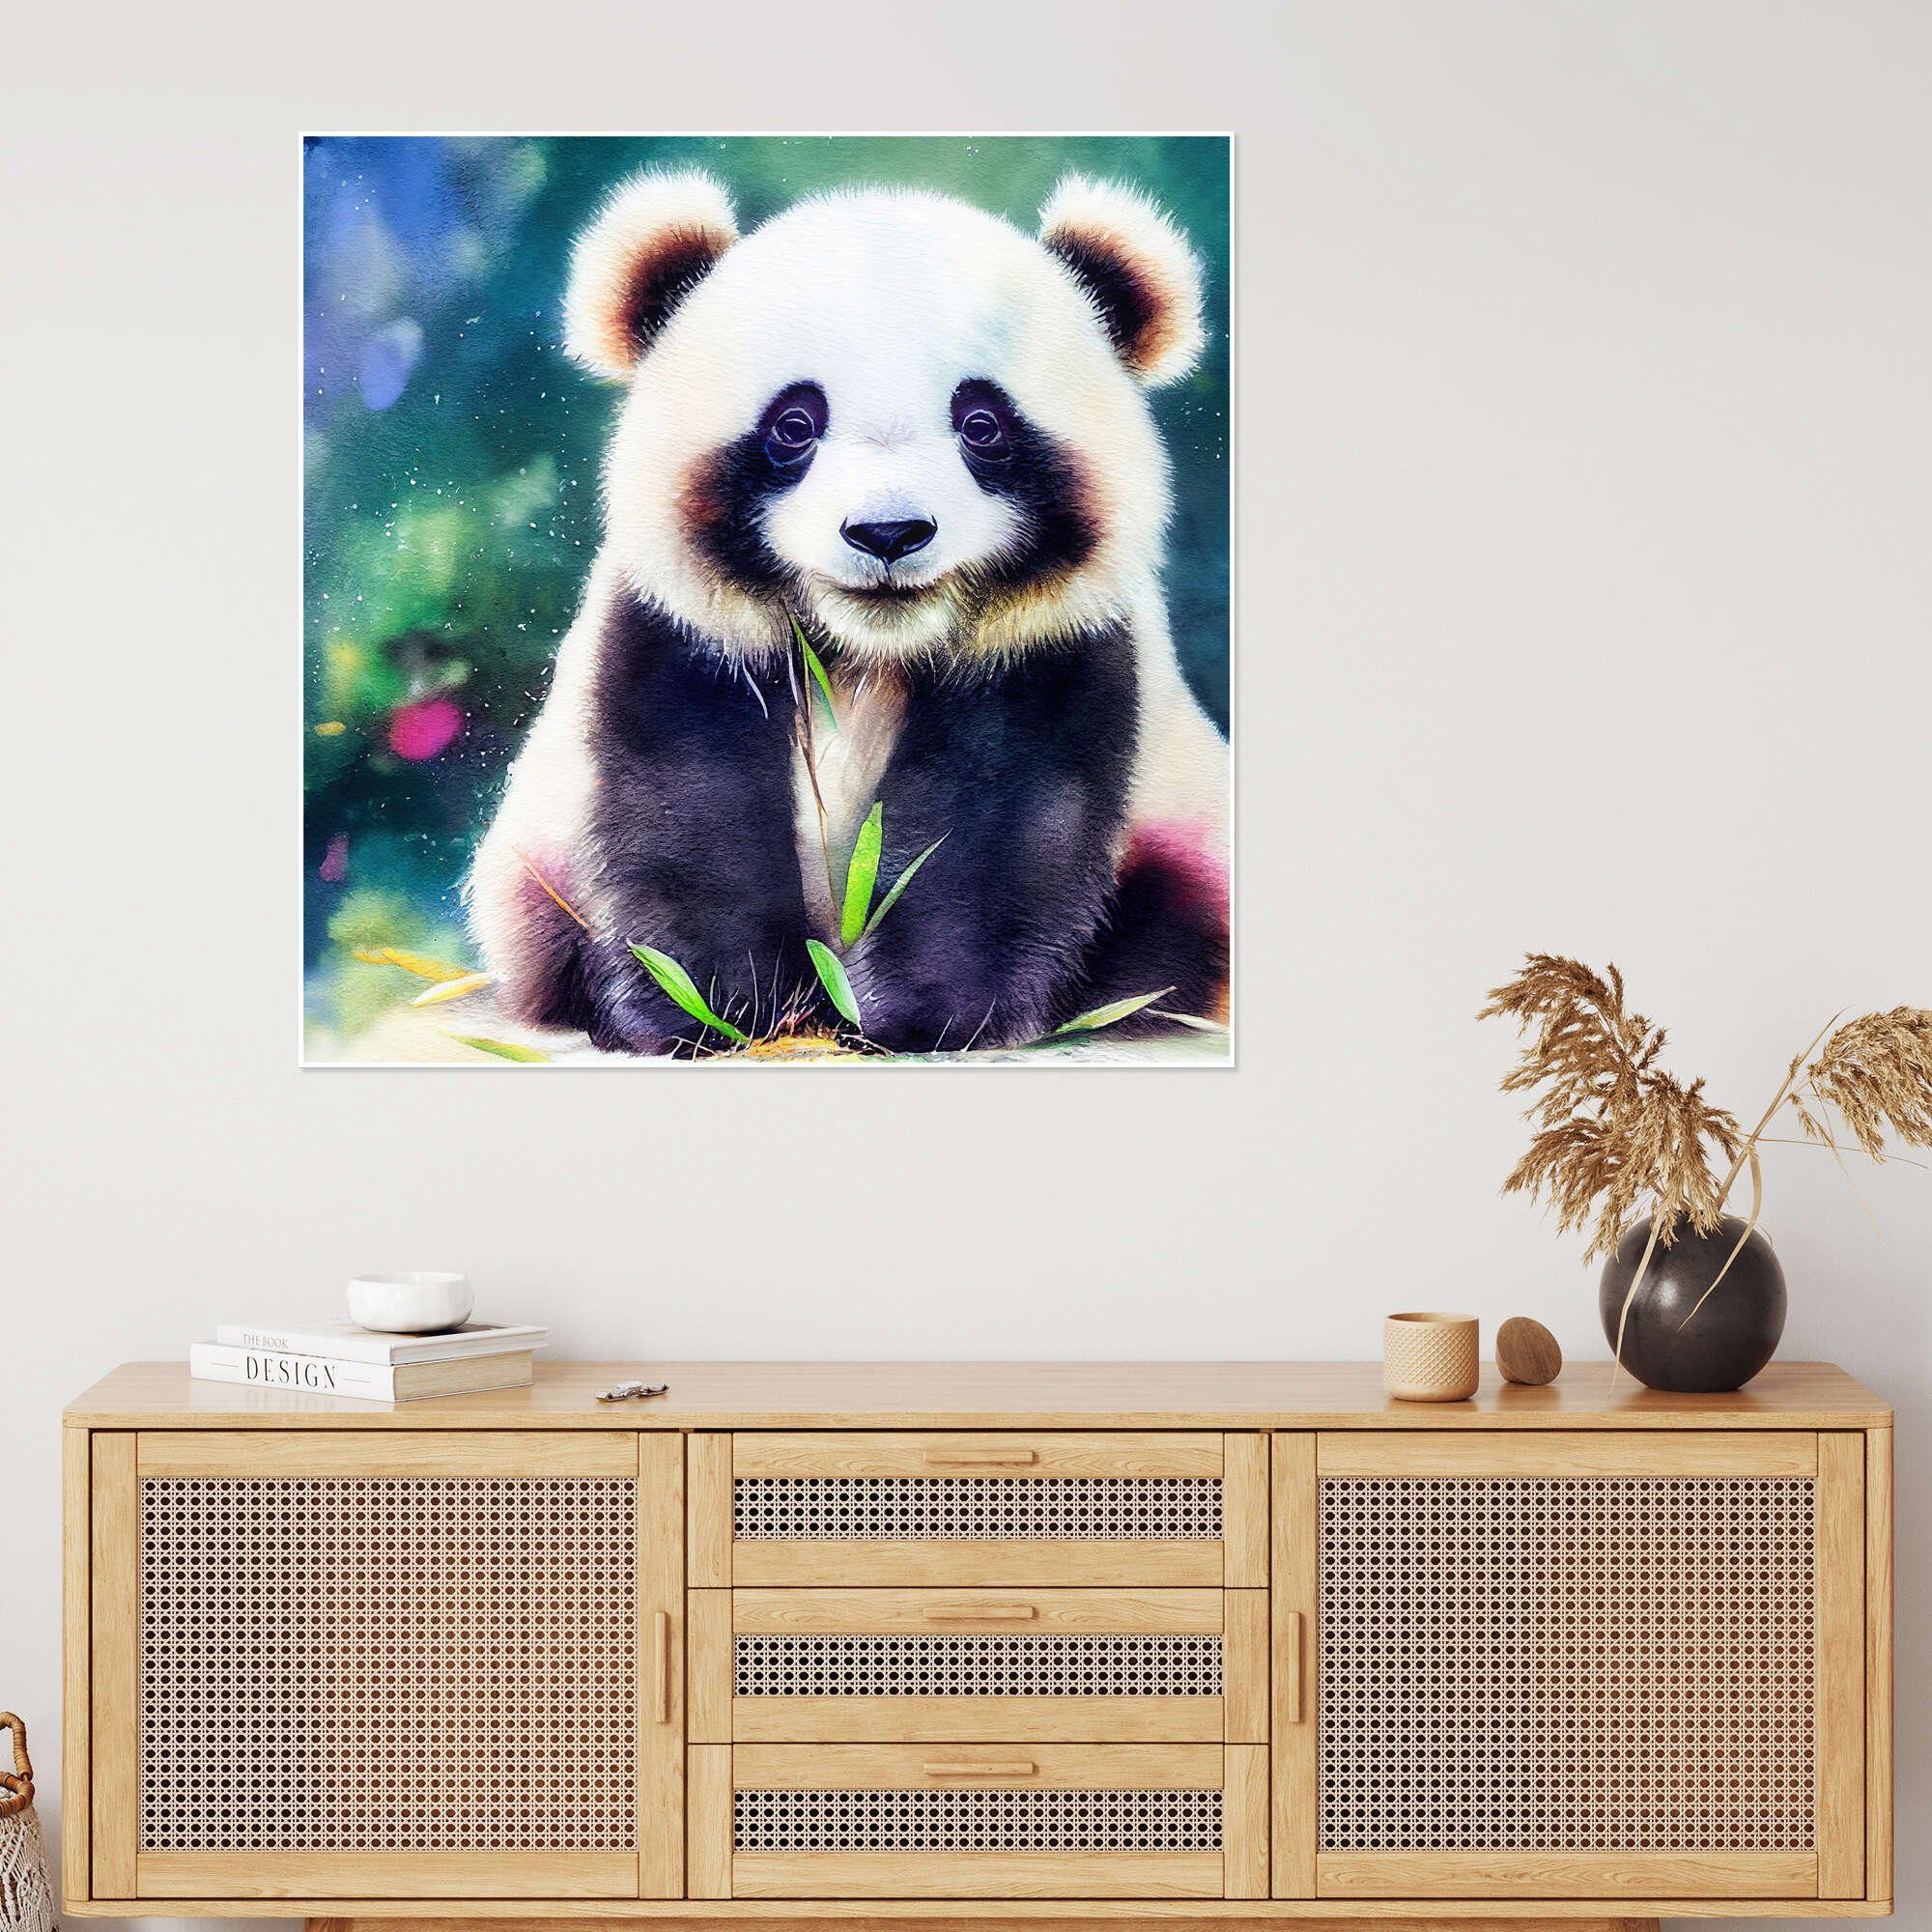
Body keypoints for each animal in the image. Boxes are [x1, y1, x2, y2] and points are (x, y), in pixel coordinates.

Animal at [468, 169, 1230, 1056]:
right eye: (795, 424)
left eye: (982, 424)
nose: (888, 533)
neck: (866, 652)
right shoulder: (675, 633)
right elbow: (681, 815)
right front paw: (721, 1012)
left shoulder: (1056, 648)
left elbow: (990, 832)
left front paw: (918, 1015)